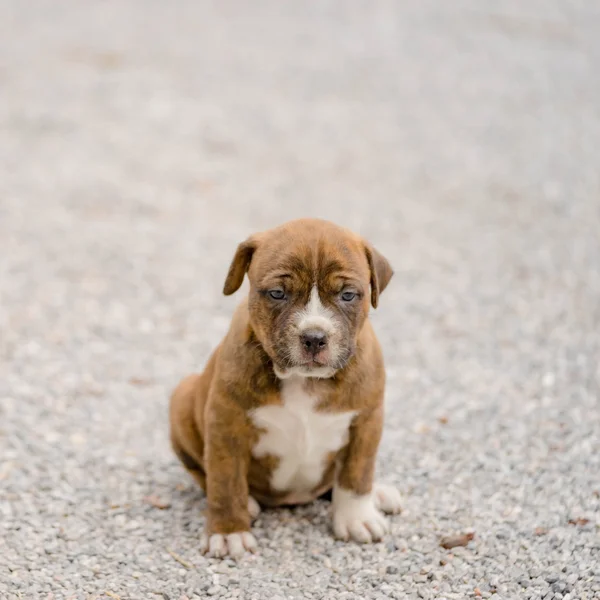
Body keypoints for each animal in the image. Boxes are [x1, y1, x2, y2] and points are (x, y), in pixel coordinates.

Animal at [169, 219, 400, 556]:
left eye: (347, 295)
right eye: (277, 293)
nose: (314, 337)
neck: (304, 380)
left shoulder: (366, 421)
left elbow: (357, 473)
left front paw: (357, 517)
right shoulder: (225, 424)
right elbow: (225, 481)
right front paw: (228, 532)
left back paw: (378, 493)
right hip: (182, 398)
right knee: (203, 473)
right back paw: (249, 504)